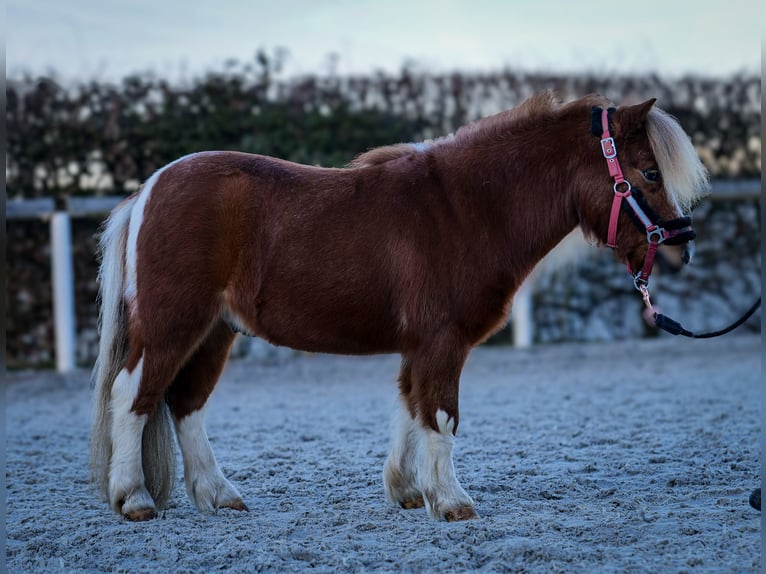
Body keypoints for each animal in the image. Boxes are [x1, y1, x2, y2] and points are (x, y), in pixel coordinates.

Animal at [93, 92, 712, 524]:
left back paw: (219, 496)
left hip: (214, 332)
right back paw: (134, 499)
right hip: (174, 324)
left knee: (186, 404)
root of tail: (149, 189)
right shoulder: (443, 340)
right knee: (133, 395)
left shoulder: (419, 344)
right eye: (649, 172)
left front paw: (411, 491)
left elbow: (411, 408)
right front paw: (453, 501)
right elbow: (440, 413)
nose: (683, 244)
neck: (468, 208)